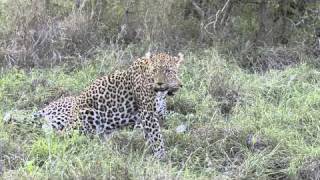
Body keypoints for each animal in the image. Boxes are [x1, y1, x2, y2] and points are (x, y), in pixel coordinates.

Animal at [32, 52, 184, 159]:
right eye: (154, 70)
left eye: (168, 71)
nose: (159, 83)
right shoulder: (148, 113)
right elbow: (157, 135)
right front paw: (162, 156)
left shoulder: (152, 114)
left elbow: (151, 133)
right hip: (88, 115)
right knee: (66, 135)